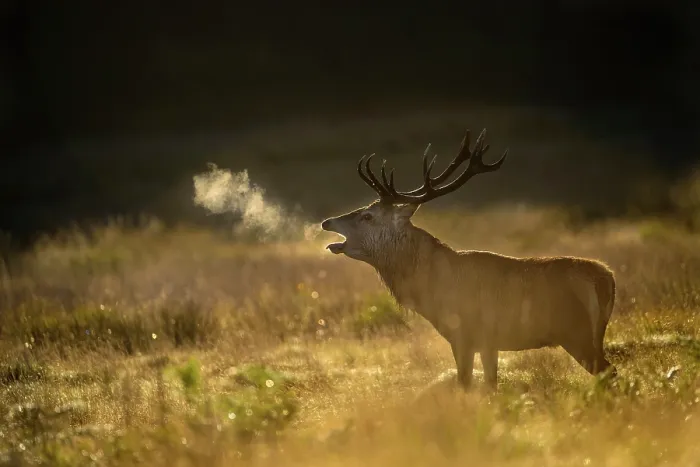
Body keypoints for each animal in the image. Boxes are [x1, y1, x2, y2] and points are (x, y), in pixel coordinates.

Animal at [321, 128, 617, 389]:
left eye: (367, 216)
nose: (326, 221)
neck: (431, 289)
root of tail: (607, 278)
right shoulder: (489, 342)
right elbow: (490, 385)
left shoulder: (463, 334)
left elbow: (465, 383)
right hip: (594, 334)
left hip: (576, 332)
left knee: (609, 373)